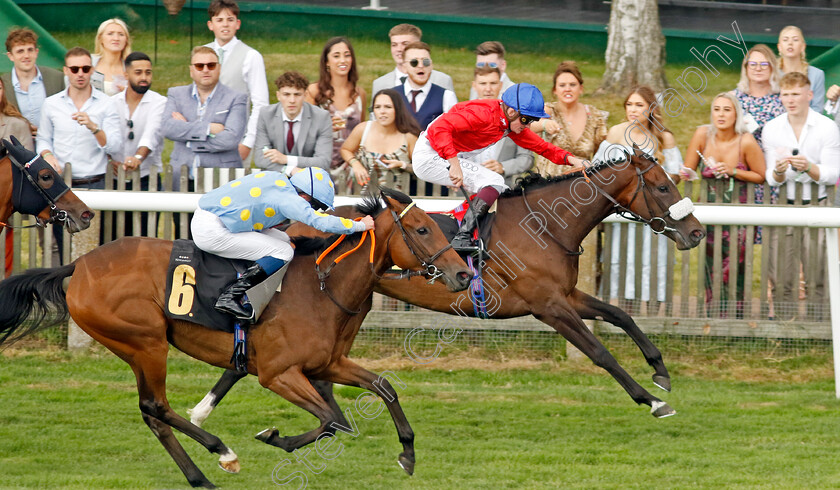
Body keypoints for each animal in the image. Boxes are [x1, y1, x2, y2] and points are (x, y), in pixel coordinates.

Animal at [0, 188, 472, 486]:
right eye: (424, 230)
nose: (463, 274)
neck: (323, 287)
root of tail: (77, 266)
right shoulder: (279, 374)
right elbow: (331, 420)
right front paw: (275, 438)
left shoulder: (329, 363)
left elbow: (382, 388)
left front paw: (407, 454)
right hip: (145, 341)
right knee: (156, 406)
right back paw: (221, 452)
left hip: (136, 347)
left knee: (152, 413)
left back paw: (200, 478)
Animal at [194, 147, 704, 426]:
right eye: (662, 187)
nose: (697, 232)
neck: (544, 225)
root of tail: (292, 220)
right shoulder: (548, 306)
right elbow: (600, 353)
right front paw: (653, 400)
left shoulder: (566, 295)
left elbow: (621, 315)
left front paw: (660, 372)